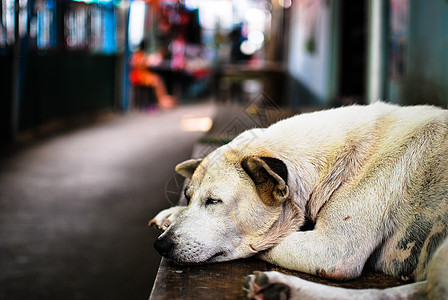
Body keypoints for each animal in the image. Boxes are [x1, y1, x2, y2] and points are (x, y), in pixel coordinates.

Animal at [151, 102, 448, 298]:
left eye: (214, 201)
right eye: (188, 197)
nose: (160, 246)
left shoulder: (333, 249)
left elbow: (267, 244)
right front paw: (173, 212)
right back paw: (281, 288)